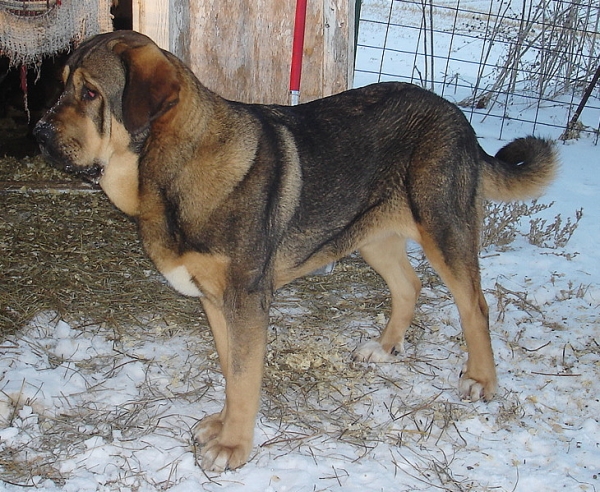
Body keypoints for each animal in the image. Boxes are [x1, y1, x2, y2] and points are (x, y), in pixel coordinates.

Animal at [32, 30, 556, 472]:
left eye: (90, 93)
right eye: (61, 87)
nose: (37, 133)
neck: (170, 170)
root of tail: (458, 116)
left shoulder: (246, 300)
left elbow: (245, 376)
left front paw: (233, 446)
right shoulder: (216, 302)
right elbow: (232, 369)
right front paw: (224, 425)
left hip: (443, 230)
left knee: (475, 305)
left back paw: (481, 379)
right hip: (369, 237)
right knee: (409, 285)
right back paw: (384, 347)